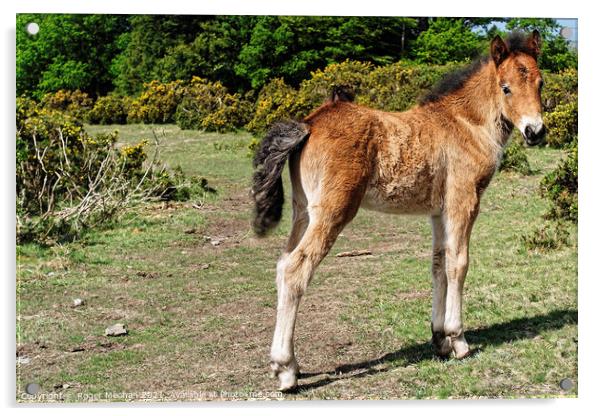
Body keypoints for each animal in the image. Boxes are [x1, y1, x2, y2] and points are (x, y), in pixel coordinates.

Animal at [251, 31, 548, 390]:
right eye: (506, 87)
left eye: (541, 83)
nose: (535, 131)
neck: (465, 124)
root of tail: (309, 123)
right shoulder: (464, 200)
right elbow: (459, 263)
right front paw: (459, 340)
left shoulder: (438, 211)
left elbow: (439, 263)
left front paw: (439, 339)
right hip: (334, 211)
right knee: (296, 269)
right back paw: (287, 370)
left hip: (303, 211)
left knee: (282, 264)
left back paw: (282, 365)